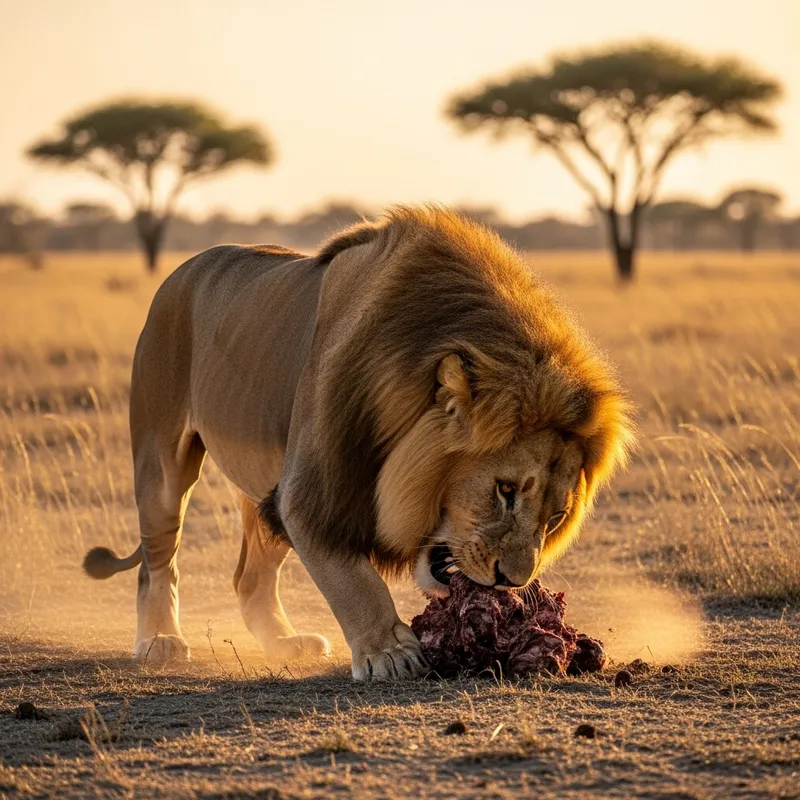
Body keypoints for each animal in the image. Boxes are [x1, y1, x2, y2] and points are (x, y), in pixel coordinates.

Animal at [83, 205, 633, 681]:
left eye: (556, 517)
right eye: (505, 490)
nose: (513, 582)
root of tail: (184, 268)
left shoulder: (289, 495)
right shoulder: (307, 493)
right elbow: (352, 579)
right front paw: (389, 651)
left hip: (261, 487)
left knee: (249, 578)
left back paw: (284, 642)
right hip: (162, 459)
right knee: (157, 561)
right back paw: (159, 640)